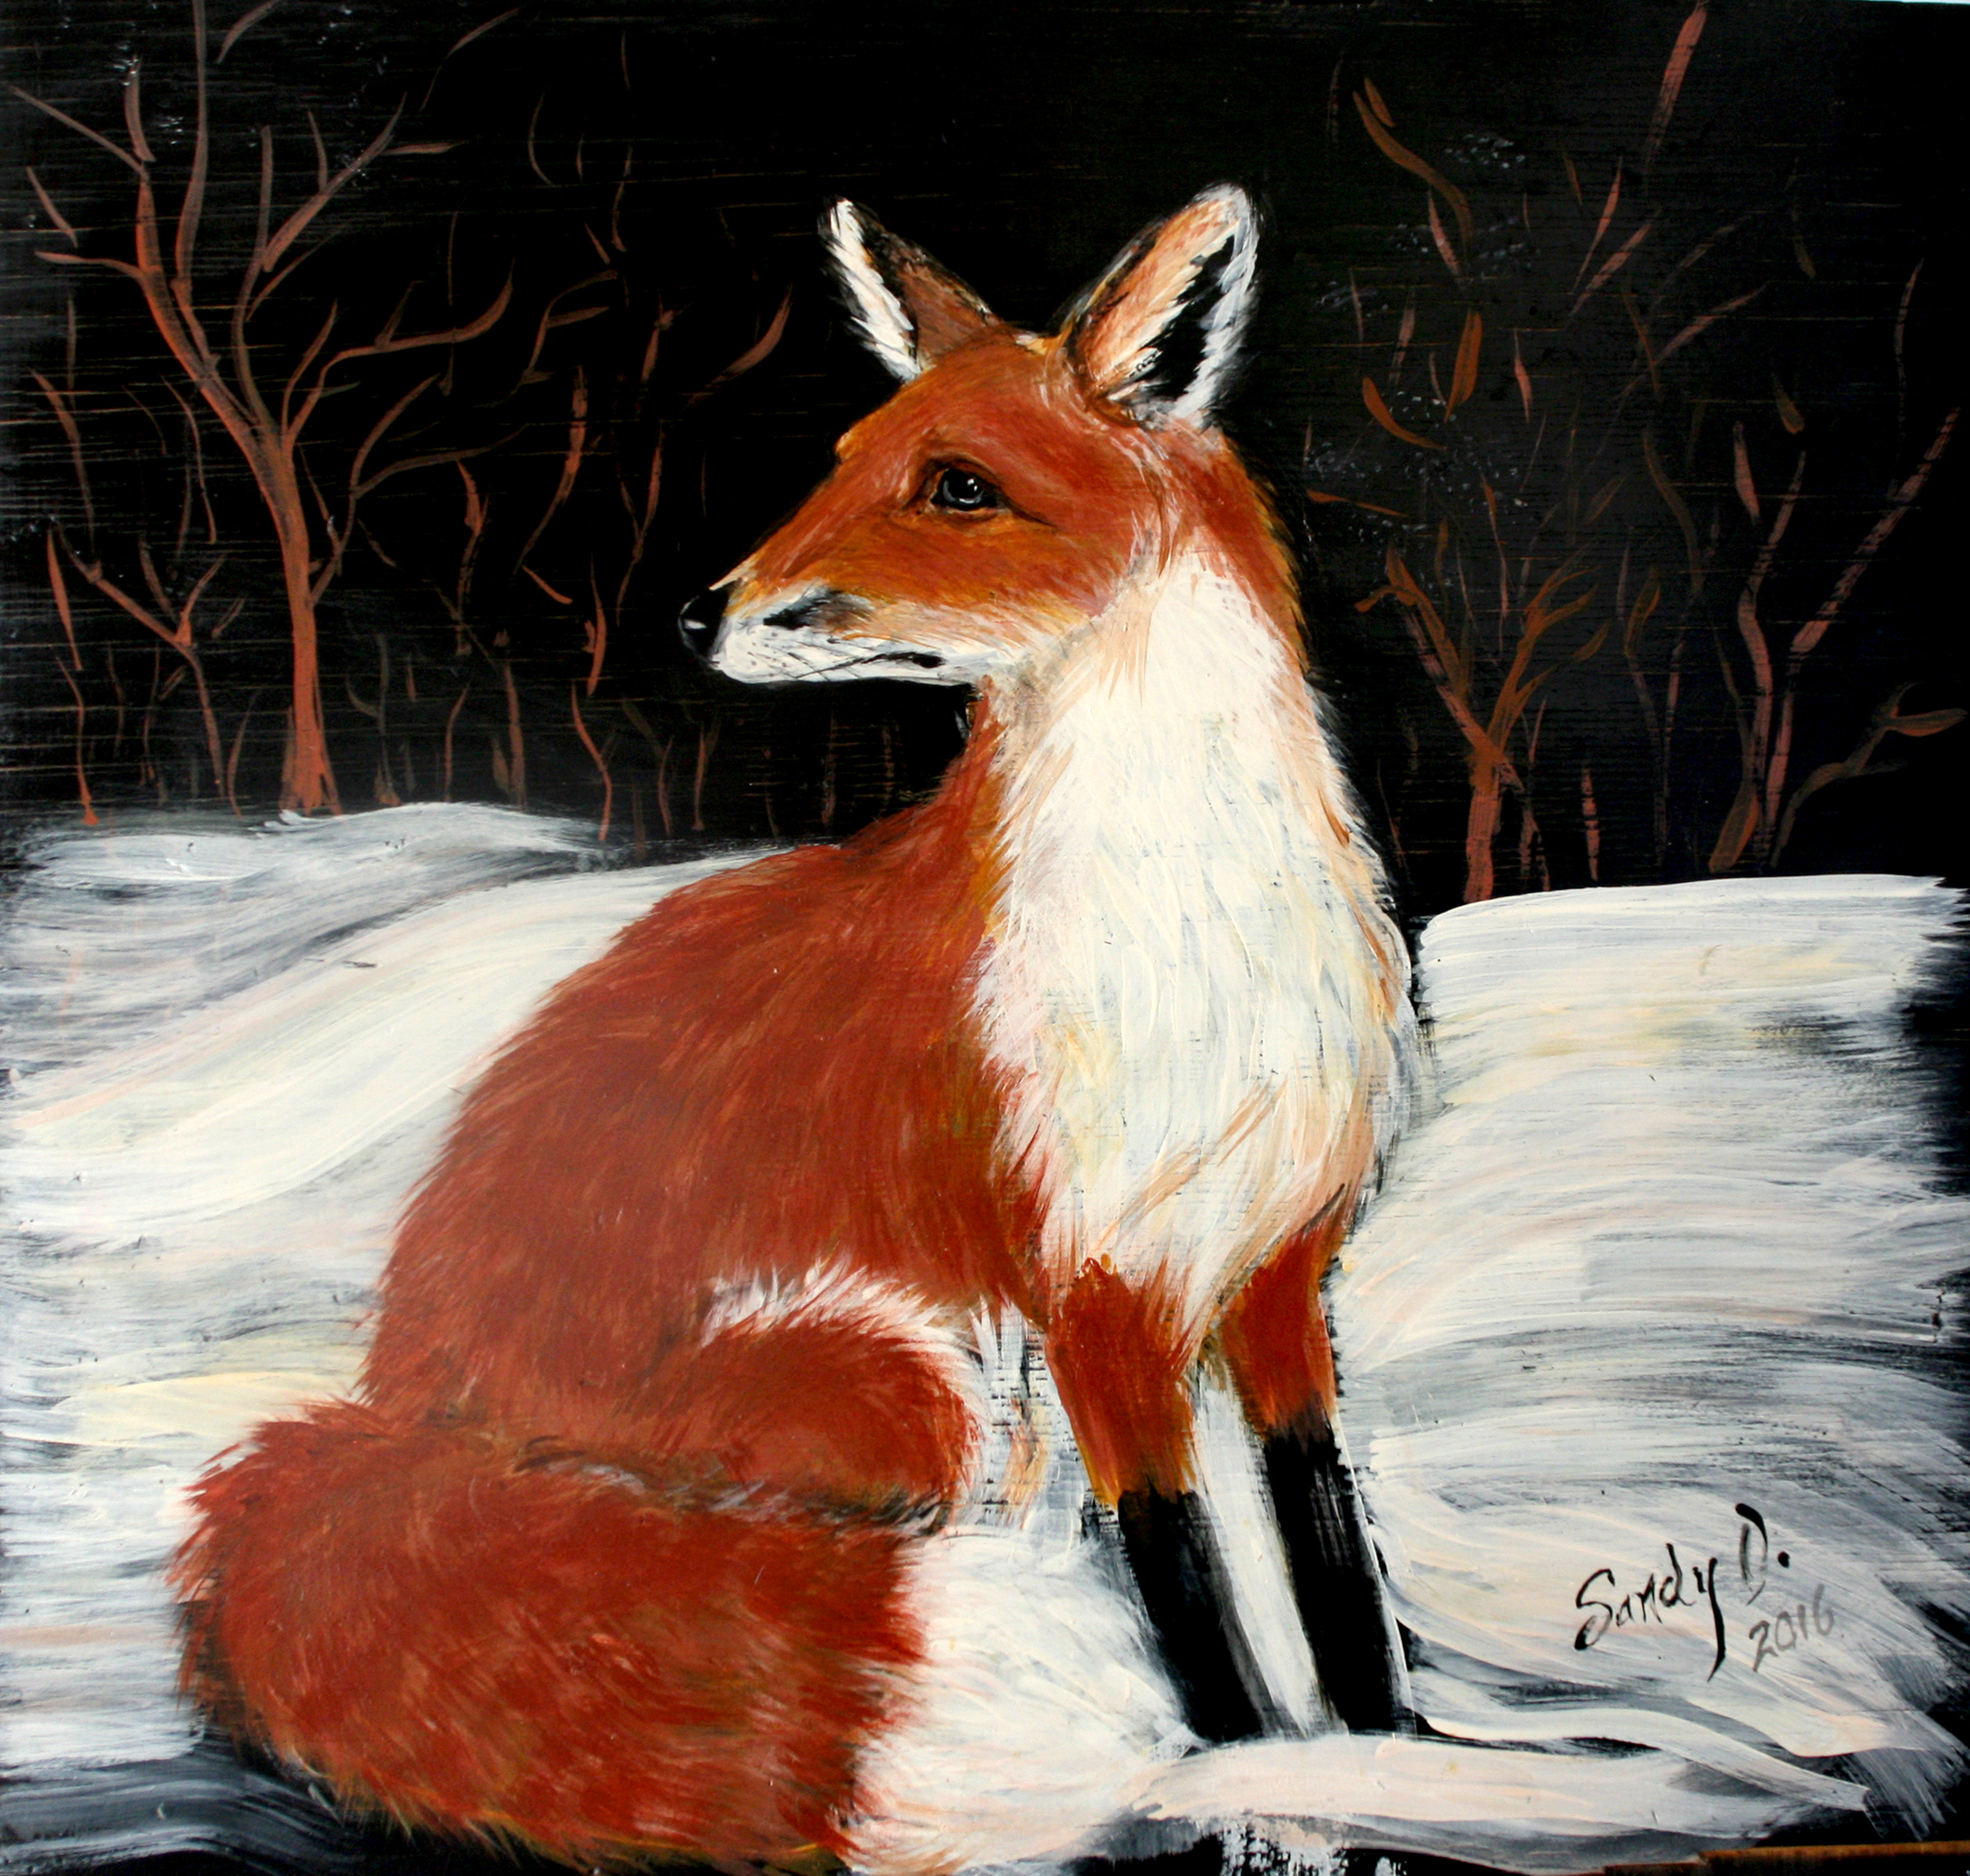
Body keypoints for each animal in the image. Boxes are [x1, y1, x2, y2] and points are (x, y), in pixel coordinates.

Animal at [172, 185, 1417, 1872]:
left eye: (955, 487)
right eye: (840, 458)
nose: (699, 610)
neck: (1193, 923)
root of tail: (394, 1416)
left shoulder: (1278, 1270)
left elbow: (1331, 1560)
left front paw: (1398, 1769)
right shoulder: (1091, 1295)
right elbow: (1191, 1601)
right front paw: (1248, 1787)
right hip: (914, 1383)